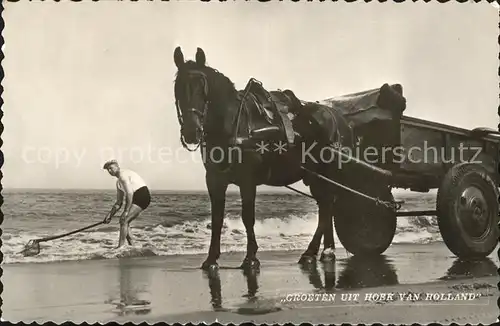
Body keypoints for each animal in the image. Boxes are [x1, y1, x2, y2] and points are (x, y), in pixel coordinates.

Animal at [174, 45, 362, 270]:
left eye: (203, 89)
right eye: (177, 88)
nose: (191, 131)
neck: (234, 125)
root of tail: (343, 121)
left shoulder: (247, 180)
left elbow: (248, 217)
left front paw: (251, 257)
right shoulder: (214, 180)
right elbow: (217, 219)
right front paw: (211, 259)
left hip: (329, 175)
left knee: (327, 210)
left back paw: (313, 252)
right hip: (316, 178)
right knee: (326, 208)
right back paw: (324, 250)